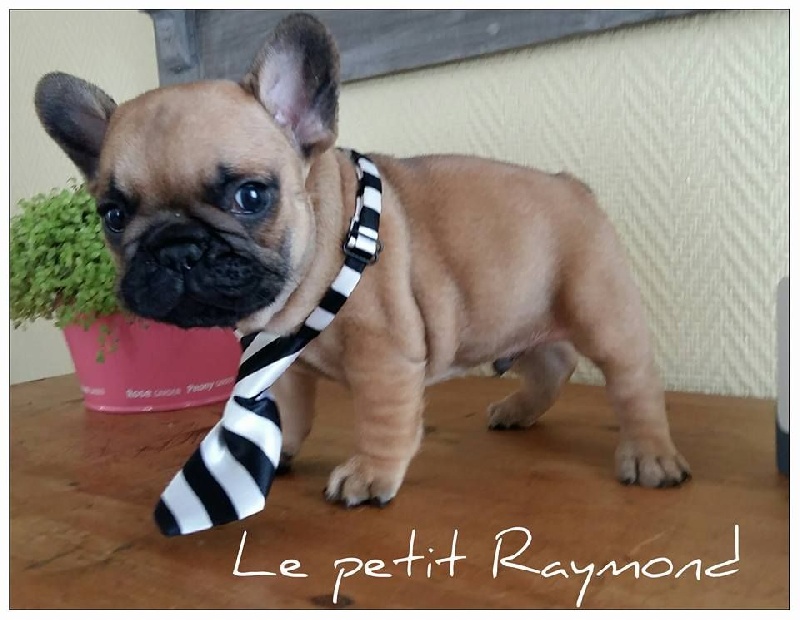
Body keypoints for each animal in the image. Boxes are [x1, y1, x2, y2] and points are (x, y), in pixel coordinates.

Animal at [33, 12, 690, 508]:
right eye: (113, 215)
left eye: (251, 196)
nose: (176, 248)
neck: (322, 259)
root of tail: (571, 184)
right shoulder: (287, 365)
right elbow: (289, 410)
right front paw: (280, 452)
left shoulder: (386, 356)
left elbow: (383, 417)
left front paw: (371, 475)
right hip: (518, 312)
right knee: (552, 360)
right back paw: (519, 409)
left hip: (601, 310)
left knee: (632, 382)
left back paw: (650, 455)